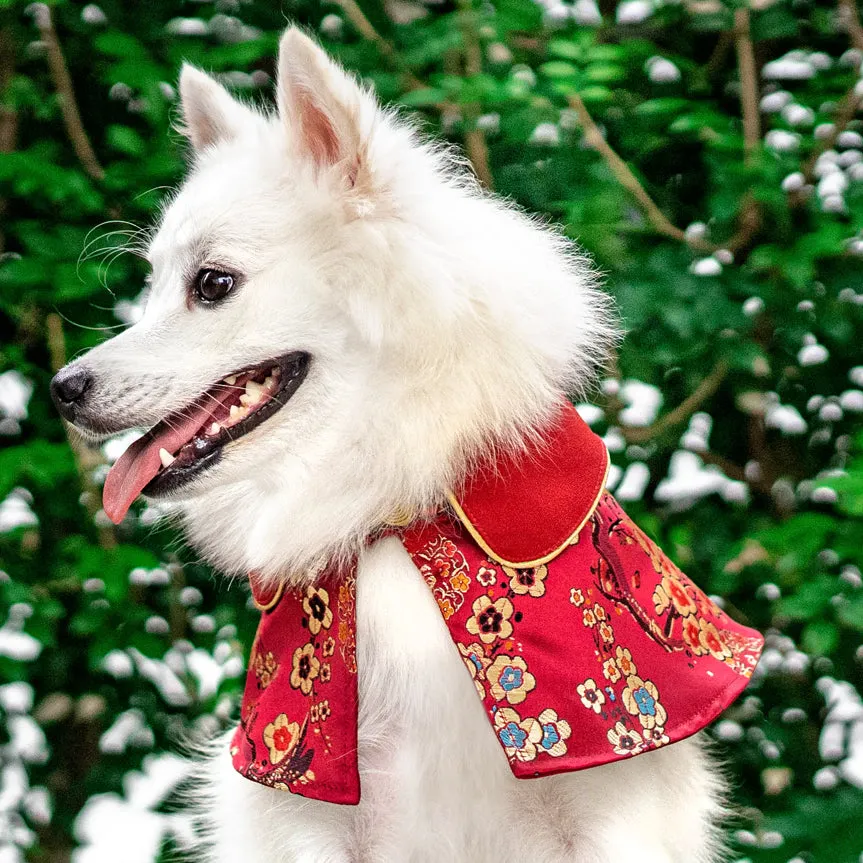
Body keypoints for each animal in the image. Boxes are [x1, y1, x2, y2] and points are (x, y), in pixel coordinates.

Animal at [50, 27, 748, 863]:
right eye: (152, 287)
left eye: (212, 284)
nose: (62, 388)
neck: (392, 517)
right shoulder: (320, 817)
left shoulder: (613, 795)